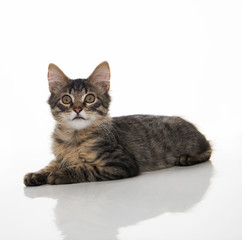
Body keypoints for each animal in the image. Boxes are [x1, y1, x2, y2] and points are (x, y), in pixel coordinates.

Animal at [23, 61, 211, 186]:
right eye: (66, 99)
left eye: (89, 98)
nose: (77, 109)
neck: (74, 138)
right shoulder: (60, 157)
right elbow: (50, 165)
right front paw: (36, 174)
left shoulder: (121, 163)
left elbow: (85, 168)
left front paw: (59, 174)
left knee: (208, 152)